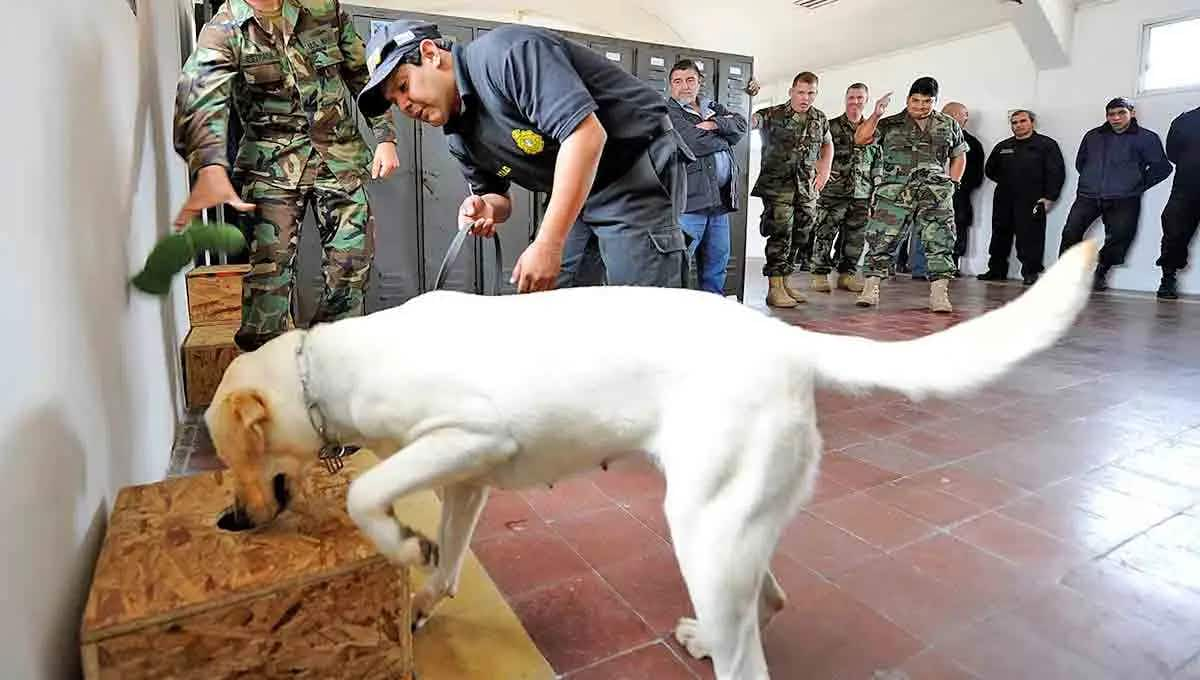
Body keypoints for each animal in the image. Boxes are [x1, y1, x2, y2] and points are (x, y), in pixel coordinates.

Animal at [204, 242, 1099, 676]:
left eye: (225, 451)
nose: (230, 522)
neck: (331, 367)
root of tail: (784, 340)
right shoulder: (465, 482)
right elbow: (449, 557)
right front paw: (421, 585)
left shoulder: (472, 436)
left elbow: (370, 495)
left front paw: (395, 541)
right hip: (728, 526)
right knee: (767, 602)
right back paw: (707, 637)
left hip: (700, 529)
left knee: (751, 661)